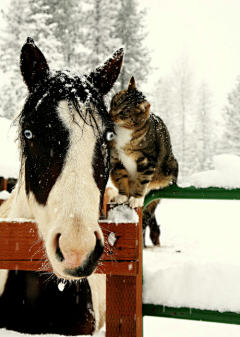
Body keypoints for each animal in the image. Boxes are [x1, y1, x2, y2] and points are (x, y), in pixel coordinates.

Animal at [109, 75, 178, 244]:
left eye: (124, 112)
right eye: (115, 102)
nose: (111, 115)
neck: (124, 131)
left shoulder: (147, 160)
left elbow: (142, 180)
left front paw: (136, 198)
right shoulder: (116, 159)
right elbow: (121, 178)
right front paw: (122, 195)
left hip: (169, 168)